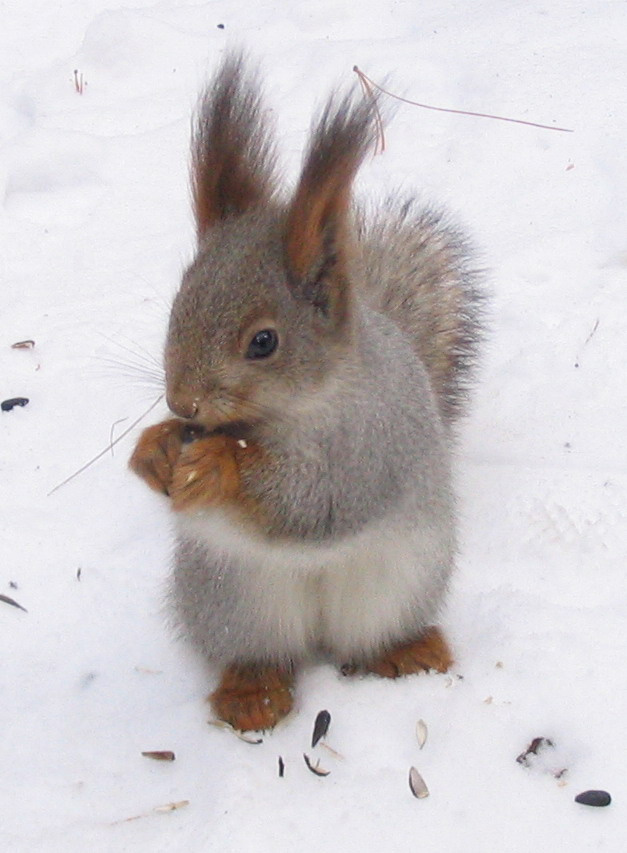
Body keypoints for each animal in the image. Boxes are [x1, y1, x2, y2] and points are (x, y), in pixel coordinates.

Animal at [130, 53, 484, 732]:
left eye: (263, 342)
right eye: (176, 307)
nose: (183, 405)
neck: (284, 415)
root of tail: (321, 630)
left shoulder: (369, 446)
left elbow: (315, 506)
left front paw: (217, 465)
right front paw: (154, 450)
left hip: (399, 580)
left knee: (375, 632)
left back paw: (407, 651)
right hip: (234, 598)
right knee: (261, 653)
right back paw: (252, 692)